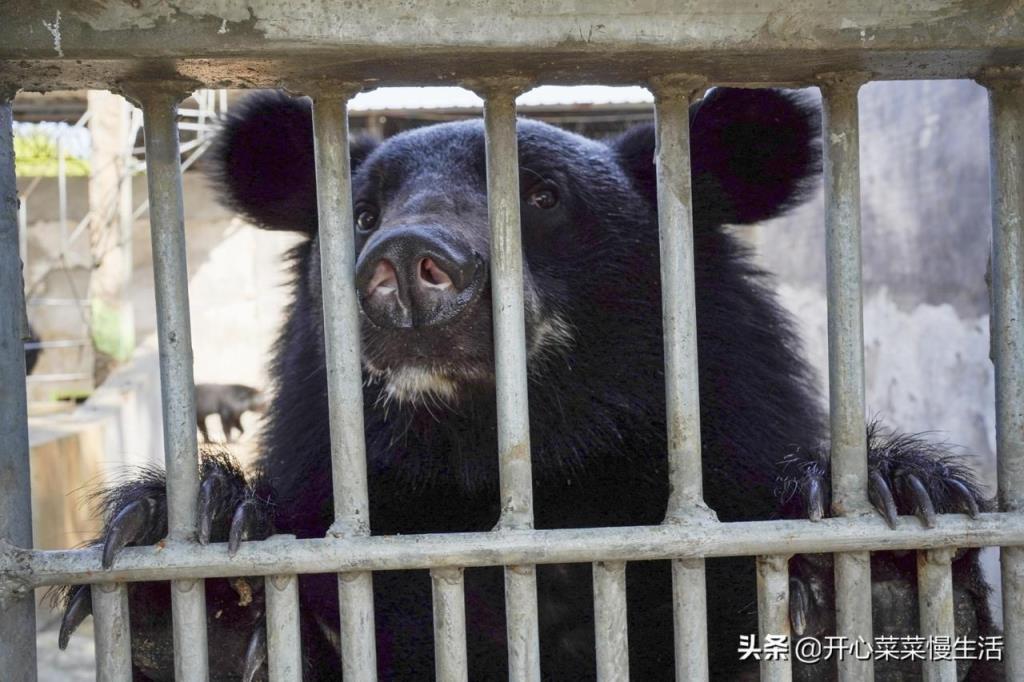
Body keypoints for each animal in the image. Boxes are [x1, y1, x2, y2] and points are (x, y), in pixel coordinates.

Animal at [58, 87, 999, 675]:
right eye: (362, 213)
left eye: (543, 197)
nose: (404, 266)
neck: (515, 458)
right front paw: (200, 581)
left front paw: (882, 571)